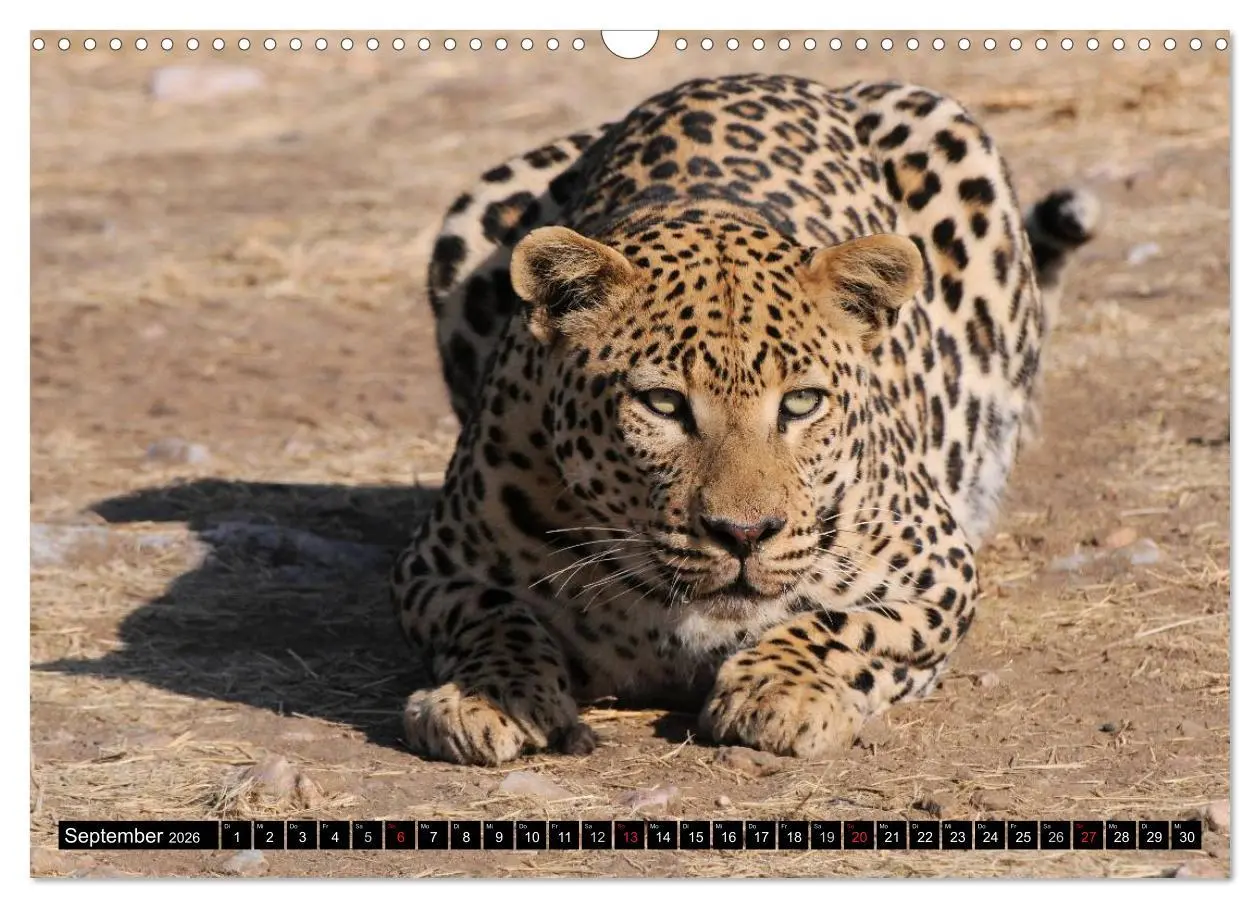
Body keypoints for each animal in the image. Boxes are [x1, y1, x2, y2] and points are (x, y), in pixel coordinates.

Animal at [390, 73, 1099, 765]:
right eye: (664, 404)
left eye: (802, 402)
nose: (744, 534)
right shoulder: (435, 567)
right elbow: (494, 614)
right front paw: (486, 696)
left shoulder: (940, 569)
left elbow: (848, 624)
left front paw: (780, 691)